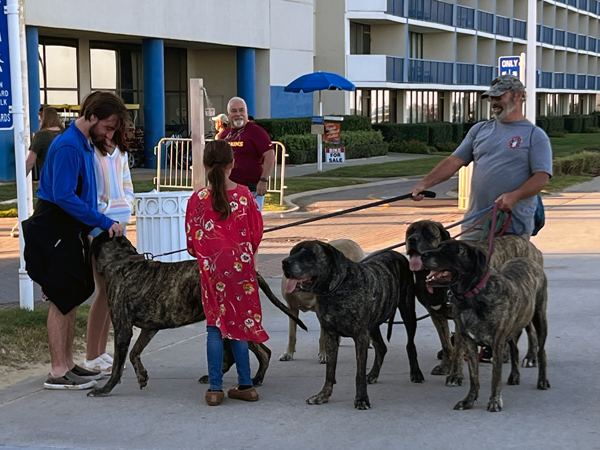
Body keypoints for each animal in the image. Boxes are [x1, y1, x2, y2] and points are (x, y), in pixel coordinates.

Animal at [85, 232, 304, 398]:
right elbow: (134, 353)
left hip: (236, 321)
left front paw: (105, 389)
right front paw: (142, 375)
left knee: (263, 352)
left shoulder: (123, 329)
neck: (124, 263)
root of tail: (250, 271)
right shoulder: (149, 328)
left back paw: (256, 379)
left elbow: (117, 365)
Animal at [284, 241, 424, 410]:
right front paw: (323, 395)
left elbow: (359, 373)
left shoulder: (360, 337)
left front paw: (361, 399)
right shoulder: (330, 335)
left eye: (308, 254)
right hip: (373, 324)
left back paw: (416, 372)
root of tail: (396, 253)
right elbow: (329, 370)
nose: (284, 262)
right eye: (292, 252)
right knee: (381, 347)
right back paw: (373, 374)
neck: (336, 289)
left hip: (407, 310)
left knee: (410, 344)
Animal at [408, 220, 544, 384]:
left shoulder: (459, 320)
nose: (411, 240)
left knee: (531, 331)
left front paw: (455, 375)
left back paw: (529, 357)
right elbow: (446, 343)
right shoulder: (436, 315)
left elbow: (458, 349)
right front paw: (445, 365)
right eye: (410, 232)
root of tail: (534, 248)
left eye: (428, 233)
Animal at [420, 241, 552, 414]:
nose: (422, 254)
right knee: (515, 350)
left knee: (542, 351)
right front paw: (468, 401)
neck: (472, 295)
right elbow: (473, 377)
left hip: (539, 318)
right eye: (438, 246)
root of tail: (530, 260)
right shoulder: (469, 343)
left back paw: (542, 380)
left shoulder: (496, 344)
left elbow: (495, 377)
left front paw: (494, 402)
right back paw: (514, 376)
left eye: (449, 250)